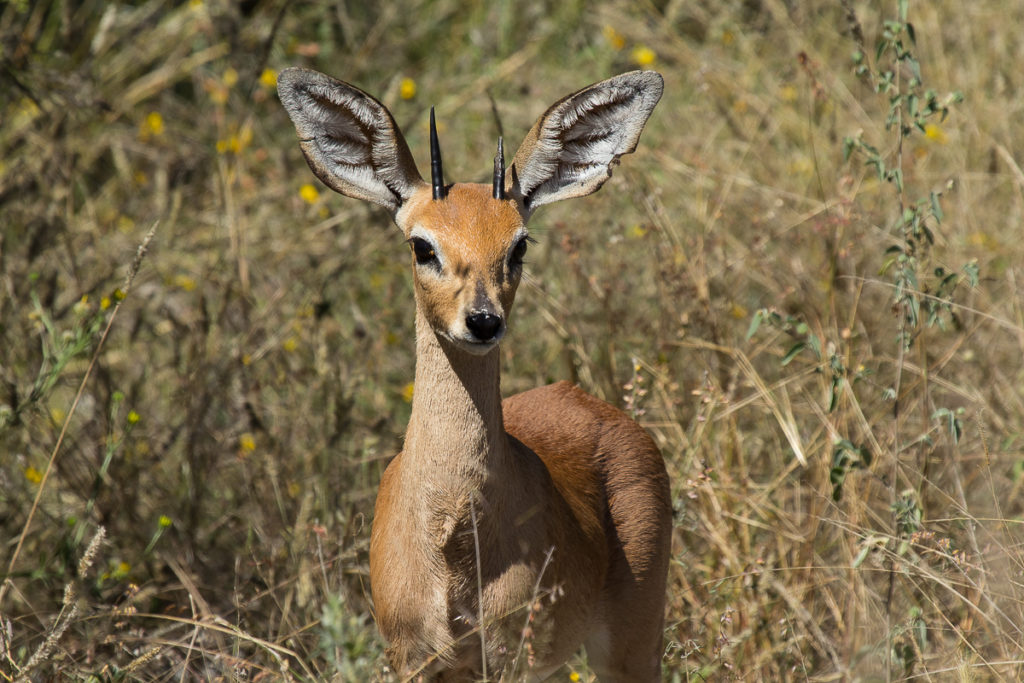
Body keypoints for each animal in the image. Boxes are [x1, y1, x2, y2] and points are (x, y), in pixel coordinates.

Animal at [278, 68, 671, 679]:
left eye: (519, 244)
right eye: (422, 245)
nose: (483, 321)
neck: (453, 543)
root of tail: (590, 402)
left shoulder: (507, 659)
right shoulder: (410, 657)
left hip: (631, 641)